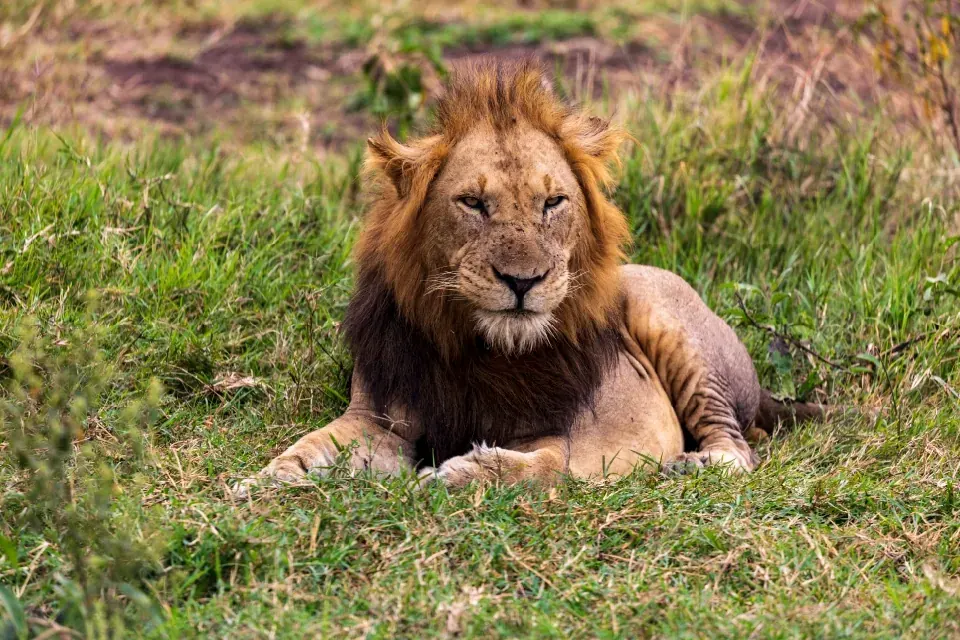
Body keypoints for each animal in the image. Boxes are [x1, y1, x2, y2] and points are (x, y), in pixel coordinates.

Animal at [234, 60, 824, 496]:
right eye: (473, 203)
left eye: (553, 202)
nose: (524, 281)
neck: (481, 350)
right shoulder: (377, 418)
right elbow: (312, 446)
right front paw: (265, 481)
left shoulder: (587, 436)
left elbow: (542, 464)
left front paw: (459, 473)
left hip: (666, 319)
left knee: (738, 448)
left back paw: (690, 464)